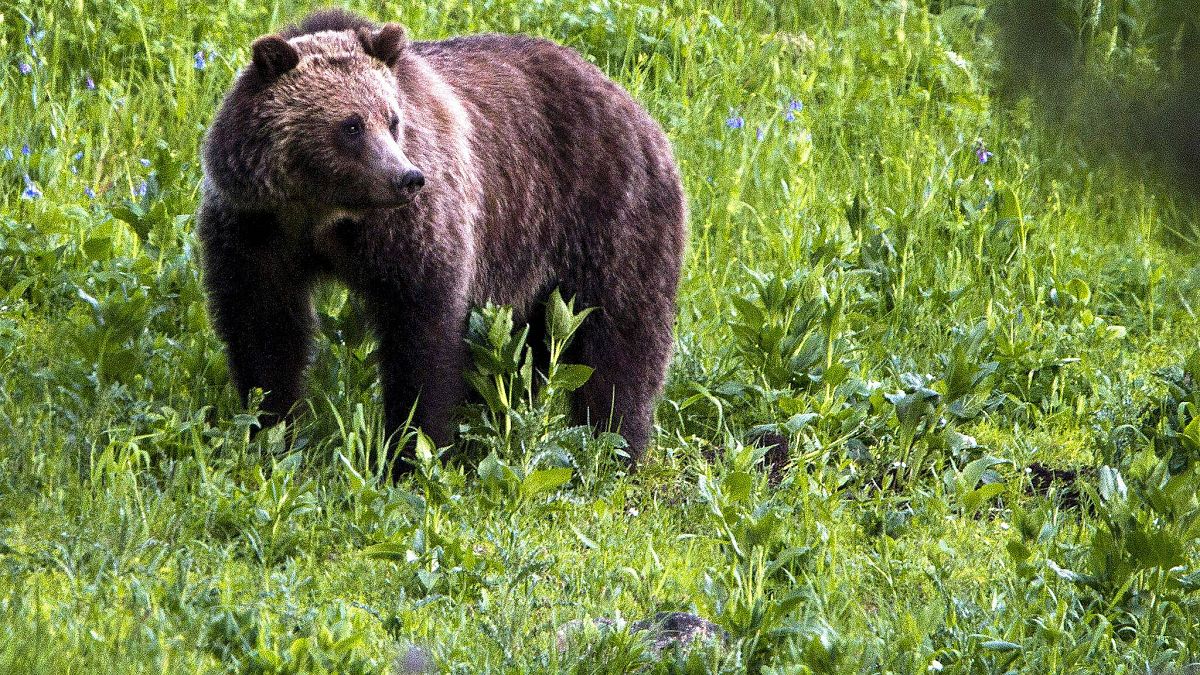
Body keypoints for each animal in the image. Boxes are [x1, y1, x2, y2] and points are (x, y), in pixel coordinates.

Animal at [196, 10, 686, 473]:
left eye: (392, 120)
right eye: (351, 126)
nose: (407, 177)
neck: (324, 214)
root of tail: (630, 101)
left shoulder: (412, 232)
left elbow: (422, 335)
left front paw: (411, 450)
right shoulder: (256, 230)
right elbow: (264, 329)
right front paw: (270, 428)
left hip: (605, 215)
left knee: (621, 336)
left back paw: (615, 444)